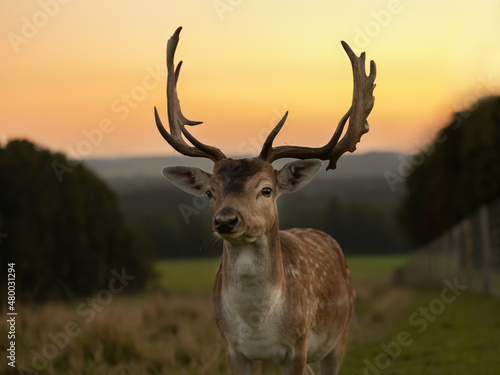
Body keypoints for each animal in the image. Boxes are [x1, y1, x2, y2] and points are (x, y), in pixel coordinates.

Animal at [154, 27, 376, 375]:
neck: (258, 325)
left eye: (266, 190)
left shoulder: (298, 347)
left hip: (339, 334)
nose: (226, 220)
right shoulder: (233, 349)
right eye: (209, 192)